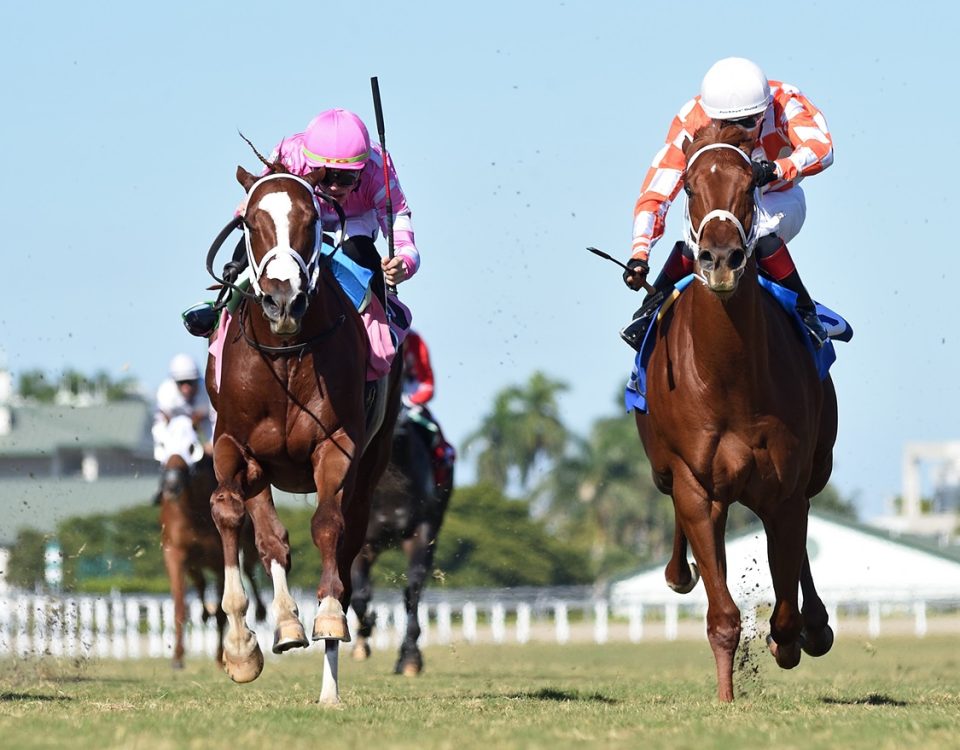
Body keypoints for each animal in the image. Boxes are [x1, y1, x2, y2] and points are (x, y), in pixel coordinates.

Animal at [157, 418, 264, 668]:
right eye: (162, 444)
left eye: (191, 447)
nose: (172, 485)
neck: (193, 512)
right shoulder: (175, 553)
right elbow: (180, 606)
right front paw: (177, 657)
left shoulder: (219, 557)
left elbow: (223, 611)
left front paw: (221, 656)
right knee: (200, 583)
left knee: (249, 568)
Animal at [208, 162, 404, 708]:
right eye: (249, 221)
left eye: (311, 218)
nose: (283, 299)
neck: (286, 355)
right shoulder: (233, 445)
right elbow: (230, 513)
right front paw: (240, 647)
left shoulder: (336, 445)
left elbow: (328, 528)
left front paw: (330, 618)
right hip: (260, 470)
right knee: (272, 540)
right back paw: (286, 626)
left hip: (370, 465)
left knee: (346, 539)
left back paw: (327, 678)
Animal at [348, 408, 454, 680]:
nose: (400, 424)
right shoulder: (362, 542)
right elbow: (360, 596)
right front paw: (365, 633)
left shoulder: (421, 532)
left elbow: (412, 591)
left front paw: (410, 659)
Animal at [636, 125, 840, 704]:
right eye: (687, 186)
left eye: (751, 184)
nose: (720, 259)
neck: (729, 377)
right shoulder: (696, 485)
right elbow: (722, 614)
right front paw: (726, 695)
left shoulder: (786, 488)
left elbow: (786, 602)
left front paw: (791, 639)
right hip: (673, 474)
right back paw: (679, 571)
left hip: (815, 469)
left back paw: (816, 626)